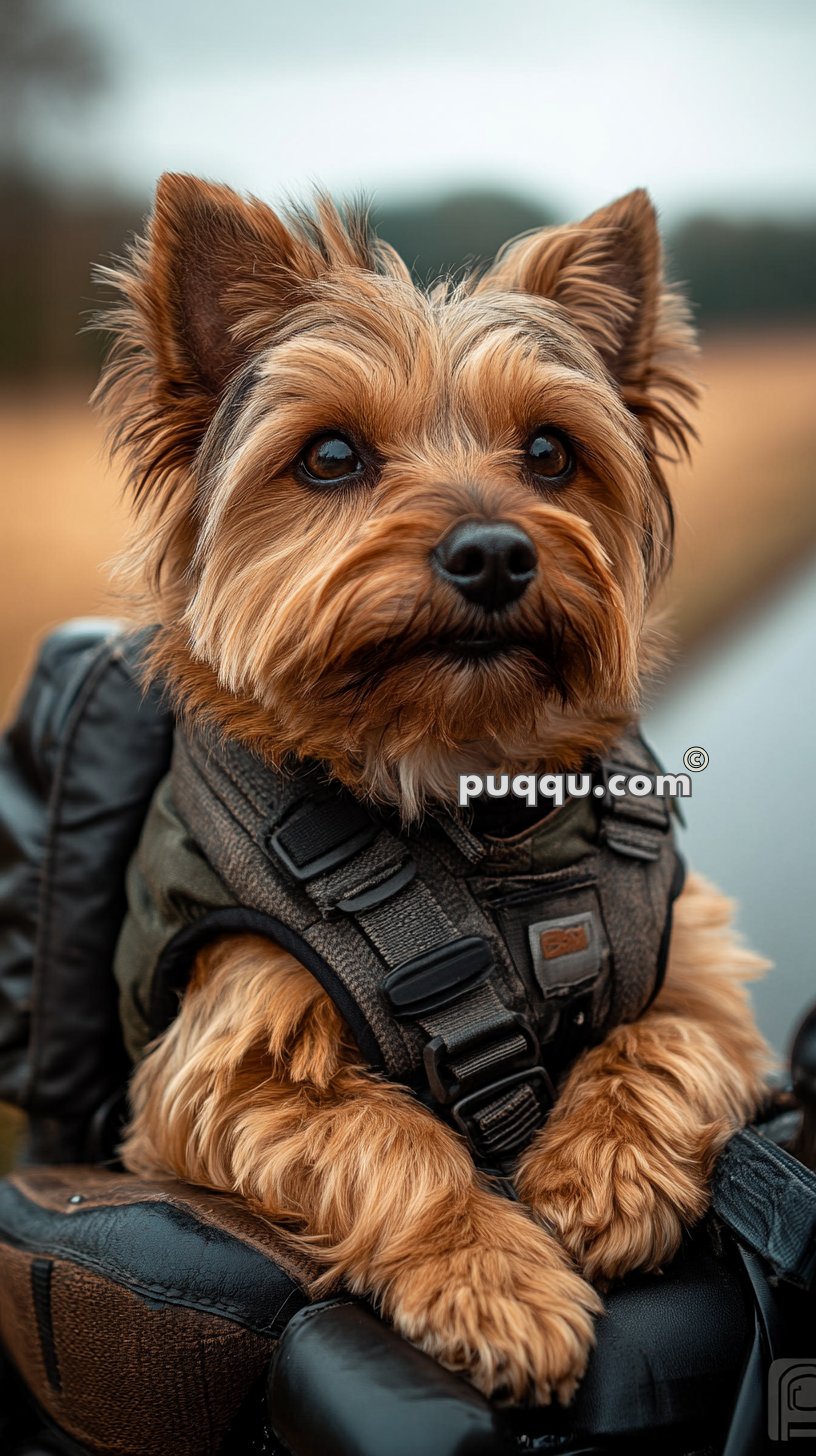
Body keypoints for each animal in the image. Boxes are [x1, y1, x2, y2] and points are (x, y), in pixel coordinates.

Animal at [95, 176, 769, 1403]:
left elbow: (666, 1041)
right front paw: (491, 1280)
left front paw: (602, 1175)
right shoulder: (220, 1064)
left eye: (550, 451)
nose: (495, 551)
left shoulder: (696, 958)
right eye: (329, 458)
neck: (464, 790)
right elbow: (388, 1140)